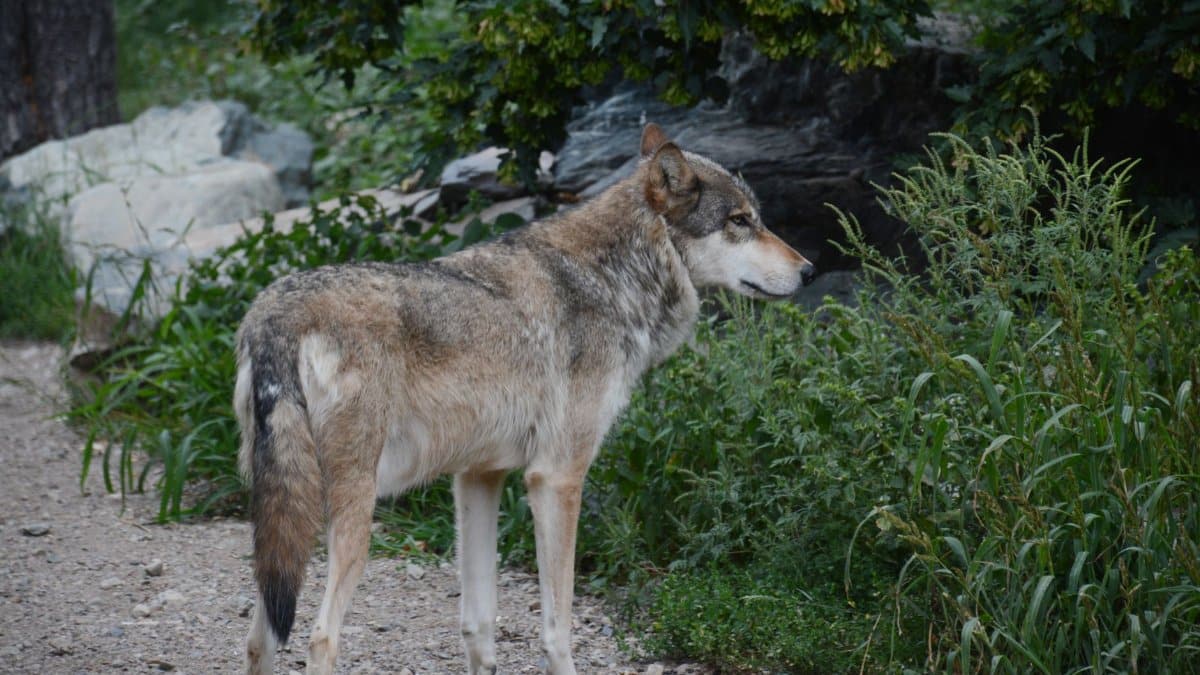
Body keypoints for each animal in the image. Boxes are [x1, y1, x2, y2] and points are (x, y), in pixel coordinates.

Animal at [236, 123, 815, 674]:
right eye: (739, 220)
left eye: (756, 218)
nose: (809, 270)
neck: (616, 277)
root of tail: (274, 315)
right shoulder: (556, 477)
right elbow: (558, 627)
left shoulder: (478, 476)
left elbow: (479, 624)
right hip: (353, 512)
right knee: (320, 641)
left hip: (284, 526)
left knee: (259, 640)